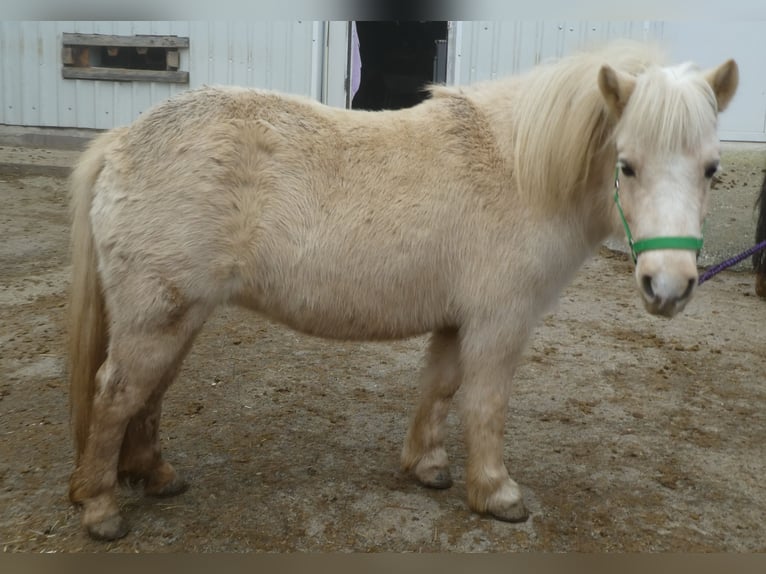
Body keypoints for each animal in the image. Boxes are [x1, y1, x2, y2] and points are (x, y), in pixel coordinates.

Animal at [69, 41, 740, 540]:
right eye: (627, 165)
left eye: (711, 168)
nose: (669, 285)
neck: (519, 170)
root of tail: (122, 142)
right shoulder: (499, 323)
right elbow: (485, 404)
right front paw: (496, 492)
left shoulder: (454, 320)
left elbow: (439, 389)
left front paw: (428, 465)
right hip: (159, 315)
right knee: (117, 394)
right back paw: (101, 508)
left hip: (177, 317)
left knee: (149, 394)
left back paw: (154, 476)